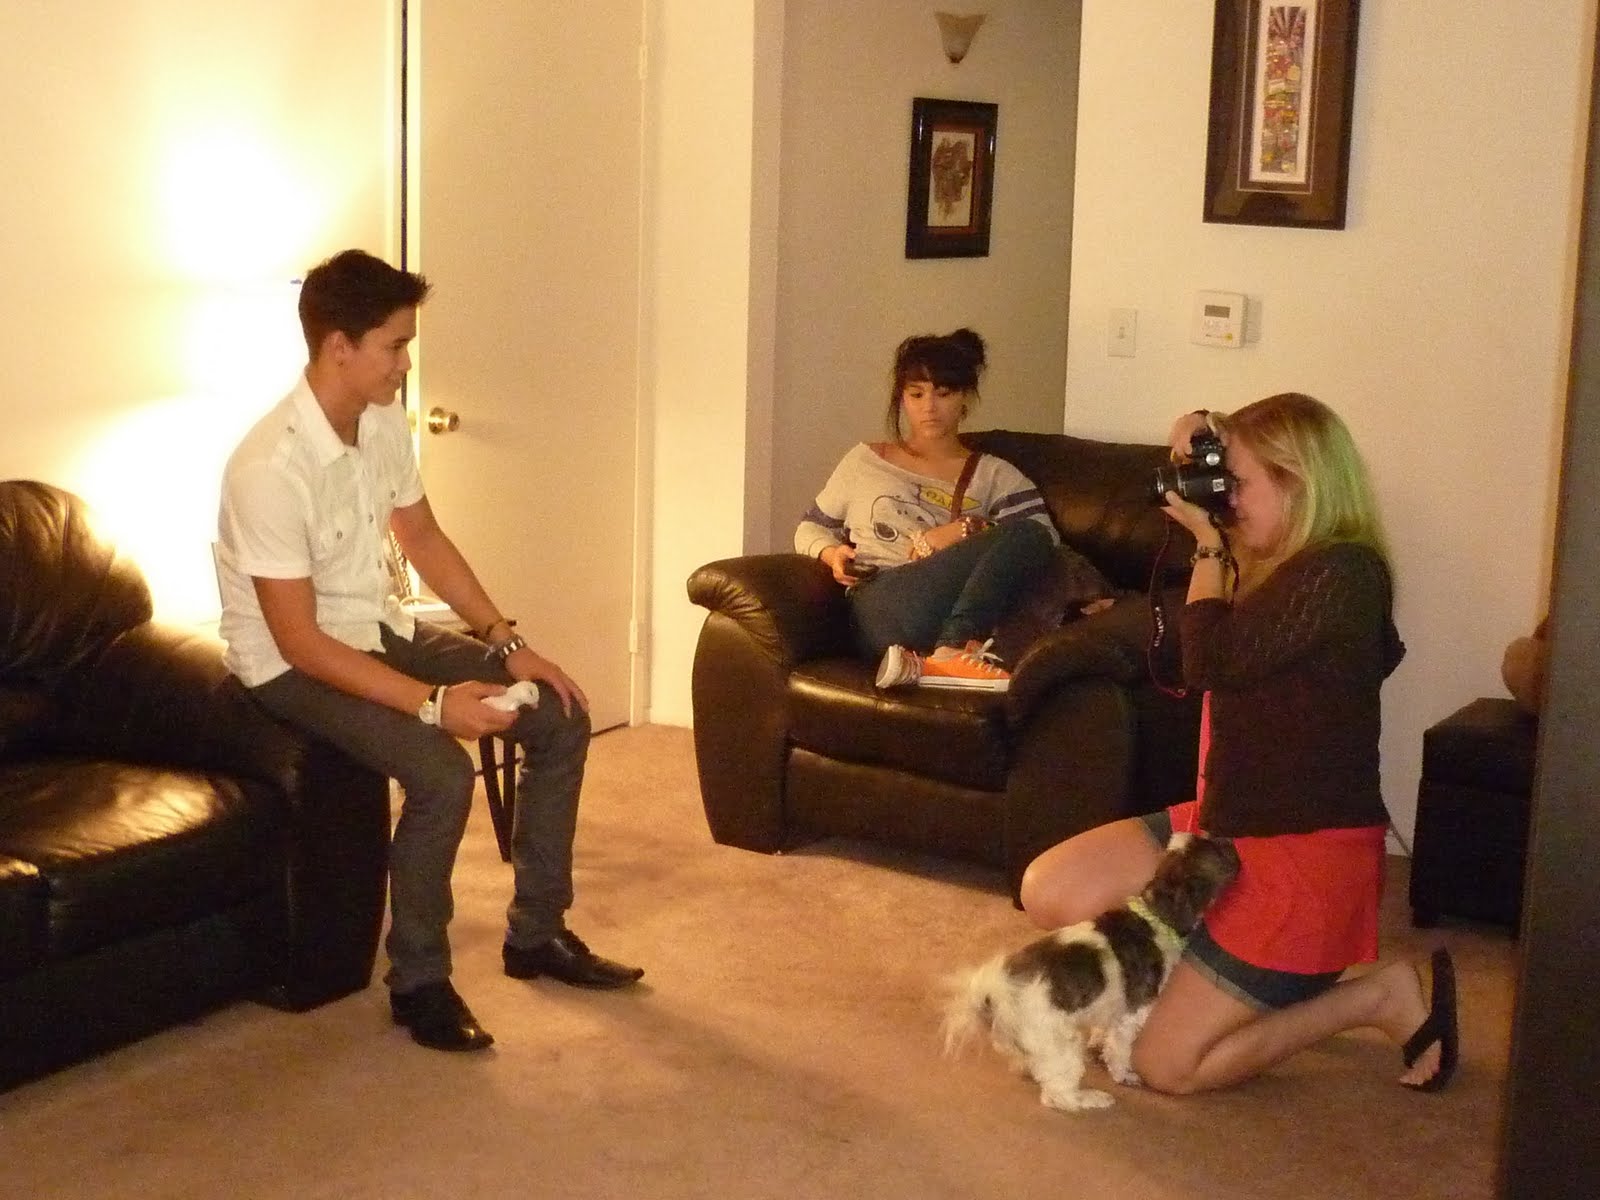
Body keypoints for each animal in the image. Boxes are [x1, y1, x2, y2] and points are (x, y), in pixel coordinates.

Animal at [943, 831, 1240, 1112]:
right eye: (1219, 851)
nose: (1234, 845)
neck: (1154, 915)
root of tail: (996, 992)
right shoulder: (1132, 1015)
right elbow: (1119, 1051)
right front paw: (1123, 1075)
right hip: (1060, 1042)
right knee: (1058, 1096)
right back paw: (1091, 1099)